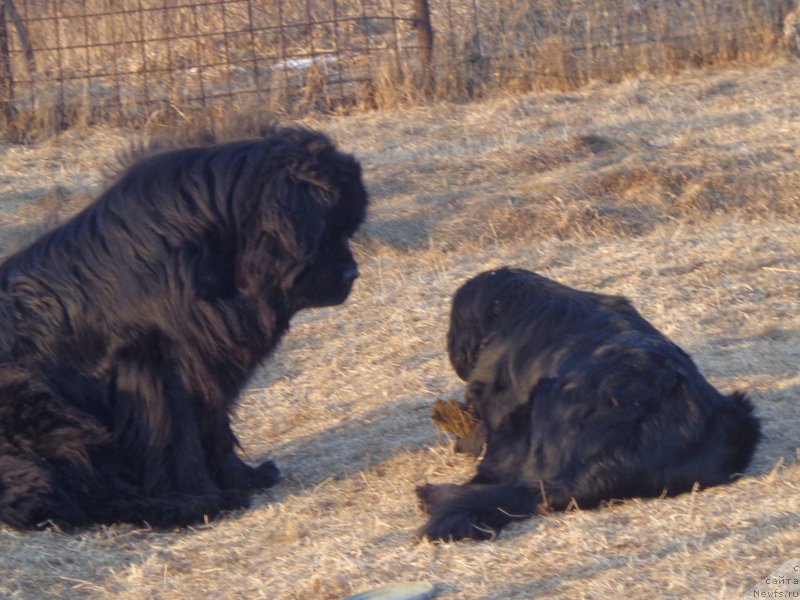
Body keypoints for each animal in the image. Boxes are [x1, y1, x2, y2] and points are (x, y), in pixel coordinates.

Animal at [0, 126, 368, 528]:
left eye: (347, 227)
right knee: (83, 492)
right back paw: (174, 507)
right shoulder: (157, 371)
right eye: (326, 229)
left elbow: (216, 428)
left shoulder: (207, 363)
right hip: (37, 400)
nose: (353, 274)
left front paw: (245, 476)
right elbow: (178, 439)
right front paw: (205, 495)